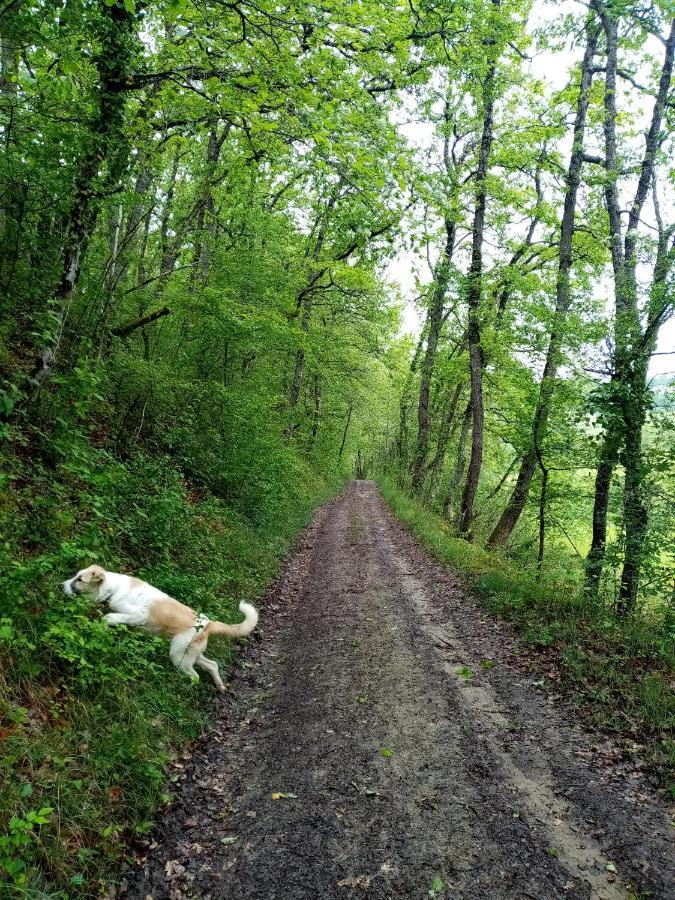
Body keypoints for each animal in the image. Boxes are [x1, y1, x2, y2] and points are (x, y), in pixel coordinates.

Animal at [61, 568, 258, 692]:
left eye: (80, 579)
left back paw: (184, 688)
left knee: (195, 677)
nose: (59, 585)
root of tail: (208, 623)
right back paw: (220, 686)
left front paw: (102, 627)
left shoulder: (138, 615)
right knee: (212, 665)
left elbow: (108, 617)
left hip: (178, 657)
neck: (113, 588)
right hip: (190, 654)